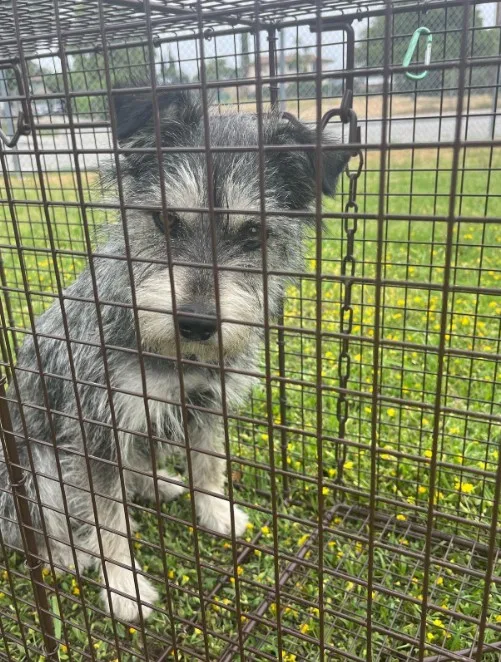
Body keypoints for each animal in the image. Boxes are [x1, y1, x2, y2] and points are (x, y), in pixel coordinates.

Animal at [0, 81, 348, 624]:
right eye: (165, 219)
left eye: (254, 232)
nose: (199, 323)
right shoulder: (96, 432)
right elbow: (106, 519)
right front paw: (122, 585)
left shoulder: (205, 402)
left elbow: (208, 465)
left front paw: (215, 513)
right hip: (36, 471)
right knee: (34, 529)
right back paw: (68, 556)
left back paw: (158, 483)